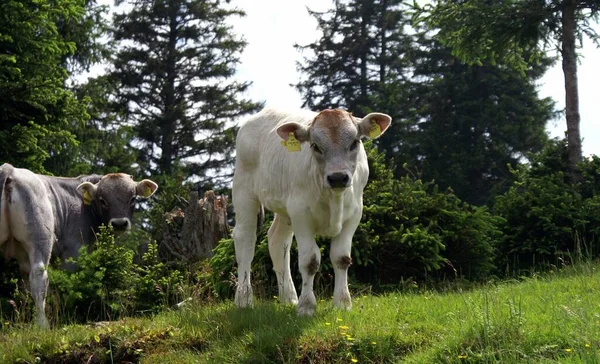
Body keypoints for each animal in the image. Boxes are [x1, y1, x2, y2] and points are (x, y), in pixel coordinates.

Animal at [0, 164, 158, 328]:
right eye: (102, 200)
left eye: (132, 198)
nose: (119, 223)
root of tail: (11, 170)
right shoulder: (73, 250)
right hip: (40, 237)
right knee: (39, 275)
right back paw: (43, 325)